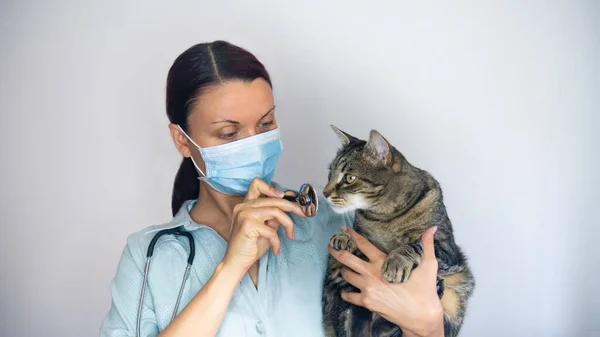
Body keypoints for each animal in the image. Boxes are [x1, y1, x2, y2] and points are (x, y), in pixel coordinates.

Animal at [322, 125, 476, 336]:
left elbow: (415, 245)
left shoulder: (445, 247)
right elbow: (358, 234)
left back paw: (436, 288)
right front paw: (345, 237)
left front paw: (397, 261)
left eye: (349, 178)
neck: (384, 217)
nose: (324, 193)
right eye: (329, 174)